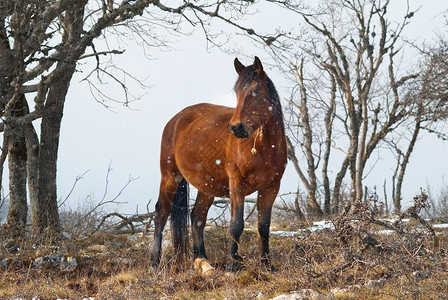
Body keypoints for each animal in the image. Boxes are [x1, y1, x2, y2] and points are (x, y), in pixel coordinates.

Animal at [151, 56, 288, 272]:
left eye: (257, 90)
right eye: (237, 92)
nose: (237, 127)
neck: (262, 147)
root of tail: (175, 120)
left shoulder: (271, 187)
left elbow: (263, 226)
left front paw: (266, 264)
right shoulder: (236, 185)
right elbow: (236, 224)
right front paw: (233, 265)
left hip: (206, 185)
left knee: (197, 217)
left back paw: (202, 259)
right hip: (170, 177)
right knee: (161, 214)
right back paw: (155, 262)